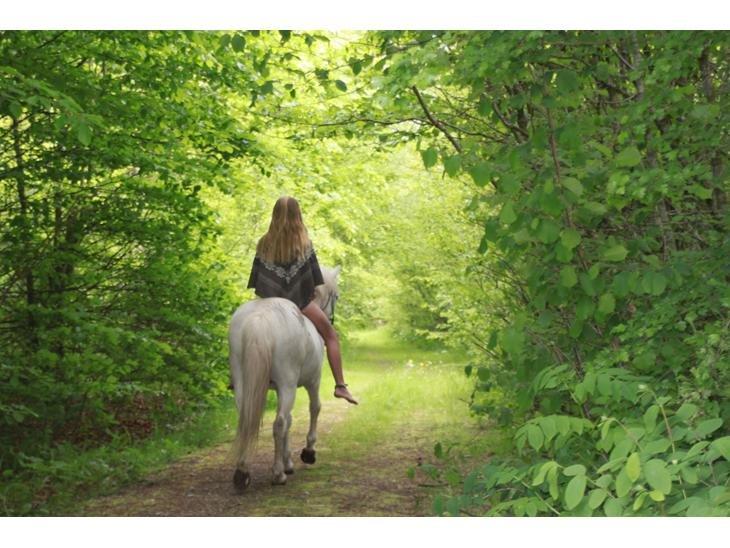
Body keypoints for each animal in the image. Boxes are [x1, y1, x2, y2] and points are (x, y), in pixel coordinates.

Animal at [228, 264, 342, 490]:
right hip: (288, 384)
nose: (331, 320)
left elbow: (290, 420)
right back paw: (278, 474)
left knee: (247, 417)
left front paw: (288, 461)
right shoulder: (312, 381)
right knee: (279, 424)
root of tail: (260, 319)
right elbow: (314, 408)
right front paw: (307, 453)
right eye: (336, 296)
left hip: (243, 382)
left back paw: (243, 471)